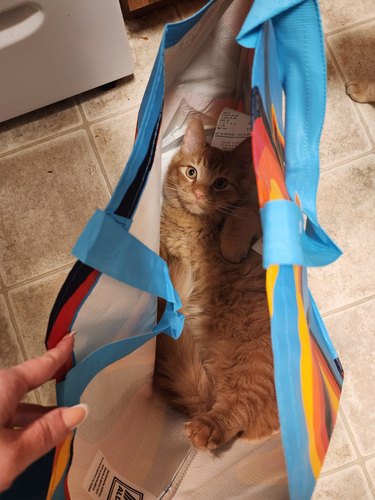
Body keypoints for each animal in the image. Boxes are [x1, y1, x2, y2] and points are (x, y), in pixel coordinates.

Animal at [154, 116, 280, 450]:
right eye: (192, 172)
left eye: (220, 183)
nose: (199, 194)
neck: (190, 225)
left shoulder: (255, 210)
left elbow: (240, 216)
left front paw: (230, 249)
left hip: (251, 368)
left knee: (234, 411)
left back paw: (206, 428)